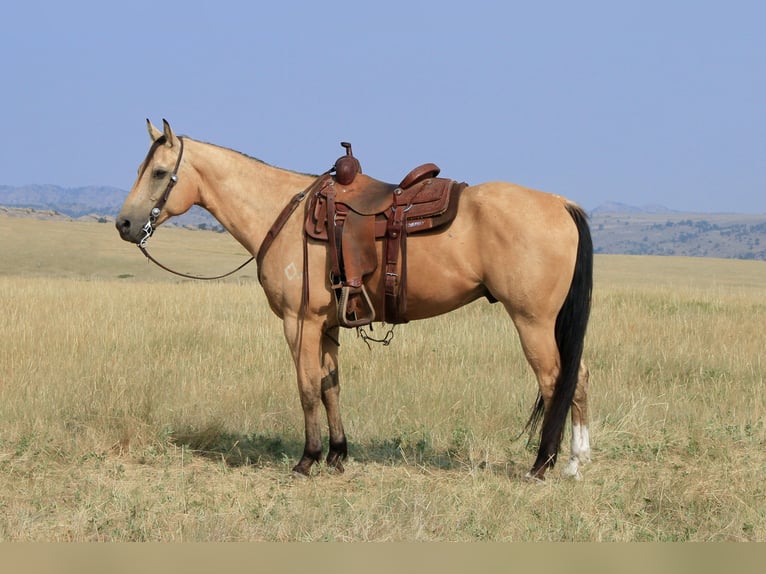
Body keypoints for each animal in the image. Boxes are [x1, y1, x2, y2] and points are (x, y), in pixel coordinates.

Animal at [117, 120, 592, 482]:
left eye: (159, 172)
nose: (124, 224)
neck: (283, 215)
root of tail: (561, 204)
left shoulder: (299, 322)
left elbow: (307, 387)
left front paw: (307, 460)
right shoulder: (327, 325)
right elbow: (331, 386)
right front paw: (337, 454)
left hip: (531, 321)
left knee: (554, 381)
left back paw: (541, 465)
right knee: (579, 377)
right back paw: (576, 462)